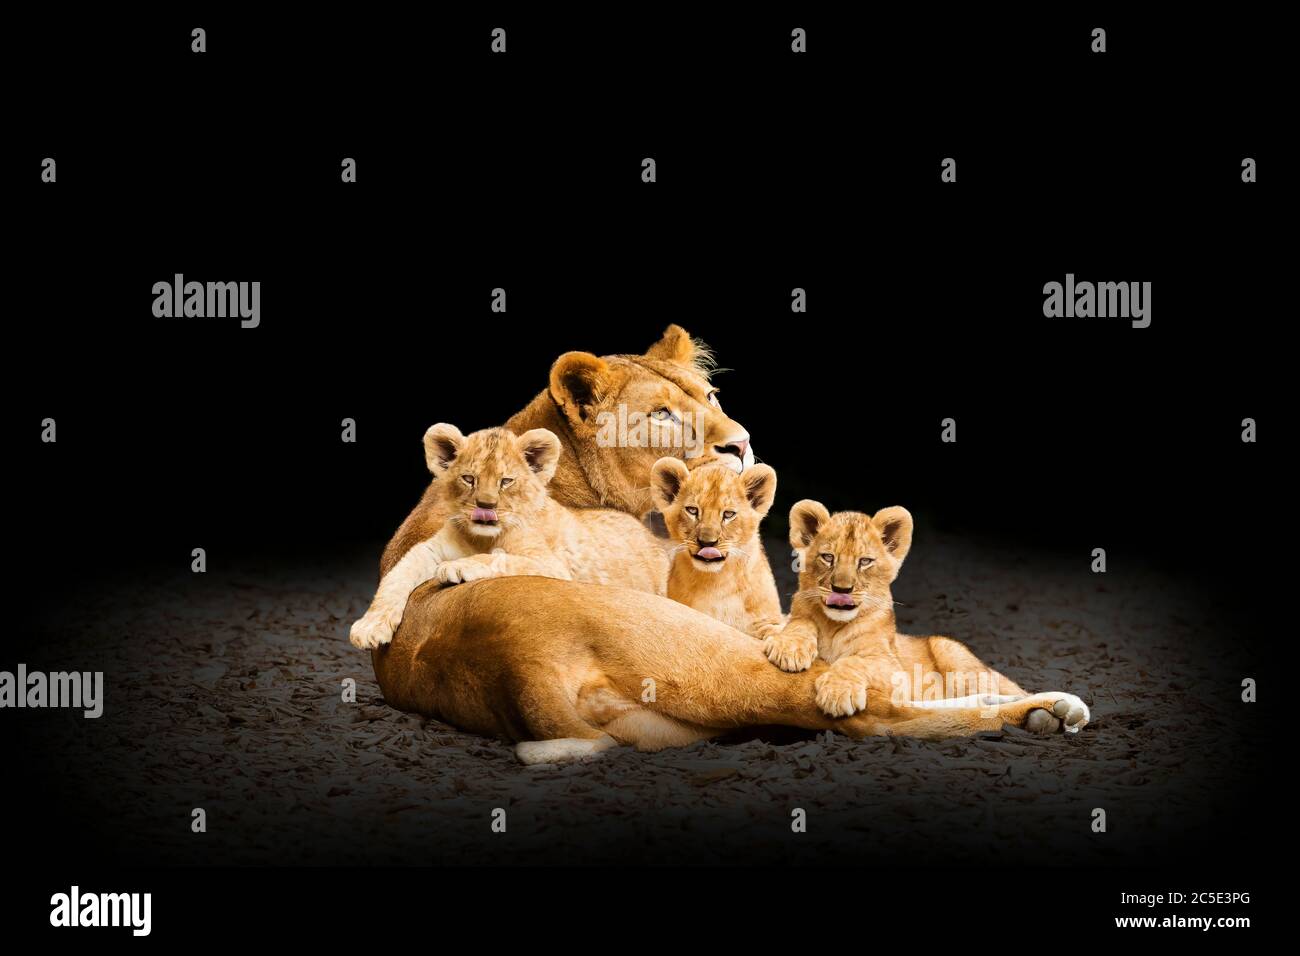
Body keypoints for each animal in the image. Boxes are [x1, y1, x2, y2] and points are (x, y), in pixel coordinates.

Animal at [350, 424, 666, 650]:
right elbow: (397, 576)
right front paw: (369, 627)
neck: (481, 538)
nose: (486, 506)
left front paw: (458, 567)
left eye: (506, 481)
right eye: (469, 478)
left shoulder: (552, 566)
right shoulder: (429, 550)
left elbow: (500, 559)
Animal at [763, 500, 1090, 732]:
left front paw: (836, 692)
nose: (841, 589)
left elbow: (855, 661)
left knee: (1007, 694)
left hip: (954, 656)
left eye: (865, 562)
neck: (834, 625)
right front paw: (790, 649)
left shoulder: (894, 670)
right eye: (827, 557)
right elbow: (798, 622)